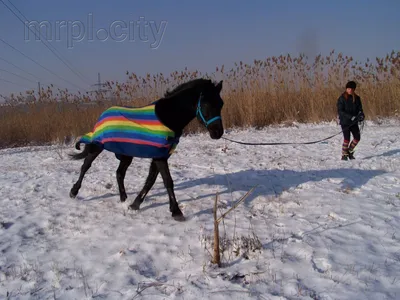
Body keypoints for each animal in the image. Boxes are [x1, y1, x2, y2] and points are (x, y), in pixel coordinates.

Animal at [69, 78, 225, 221]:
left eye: (221, 104)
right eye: (206, 104)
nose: (218, 133)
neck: (168, 117)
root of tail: (103, 114)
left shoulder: (160, 156)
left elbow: (150, 181)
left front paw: (134, 205)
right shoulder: (160, 157)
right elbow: (168, 181)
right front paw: (176, 212)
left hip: (126, 154)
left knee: (119, 174)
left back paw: (124, 199)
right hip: (97, 147)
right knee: (85, 166)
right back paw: (73, 192)